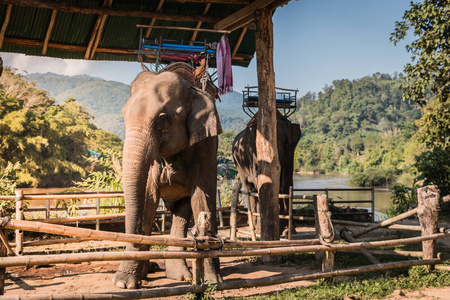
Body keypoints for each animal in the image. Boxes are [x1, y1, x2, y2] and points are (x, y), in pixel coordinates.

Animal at [114, 63, 223, 290]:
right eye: (124, 116)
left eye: (162, 119)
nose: (134, 239)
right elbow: (148, 198)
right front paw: (123, 284)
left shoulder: (207, 144)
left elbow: (202, 197)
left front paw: (214, 282)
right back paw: (151, 273)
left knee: (183, 210)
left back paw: (179, 276)